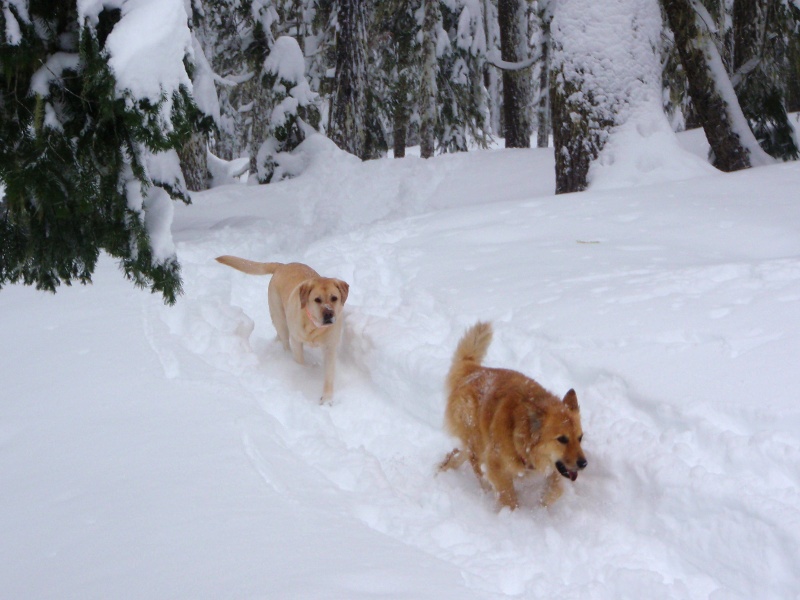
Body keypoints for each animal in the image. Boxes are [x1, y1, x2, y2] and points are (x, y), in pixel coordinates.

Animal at [216, 254, 350, 404]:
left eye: (334, 298)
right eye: (317, 299)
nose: (329, 314)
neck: (314, 327)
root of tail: (282, 266)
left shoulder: (330, 347)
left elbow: (329, 375)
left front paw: (327, 399)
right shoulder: (296, 341)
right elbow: (300, 360)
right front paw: (304, 371)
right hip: (280, 318)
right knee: (285, 341)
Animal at [438, 322, 588, 508]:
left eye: (580, 438)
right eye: (562, 439)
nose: (584, 463)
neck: (519, 433)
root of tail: (473, 370)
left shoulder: (552, 467)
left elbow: (555, 488)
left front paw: (544, 501)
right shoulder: (496, 464)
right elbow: (509, 497)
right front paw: (512, 513)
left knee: (457, 453)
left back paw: (443, 467)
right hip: (477, 442)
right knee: (476, 466)